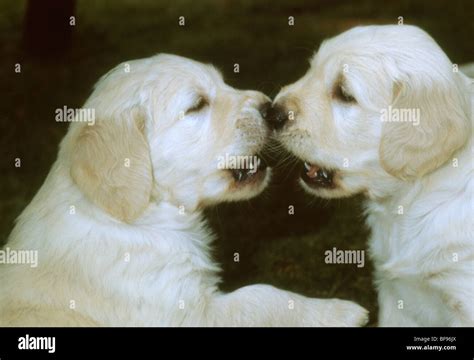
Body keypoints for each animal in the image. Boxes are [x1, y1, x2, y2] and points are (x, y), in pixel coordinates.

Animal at [0, 54, 368, 328]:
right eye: (196, 105)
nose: (270, 108)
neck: (138, 219)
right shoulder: (185, 313)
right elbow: (261, 296)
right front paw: (340, 311)